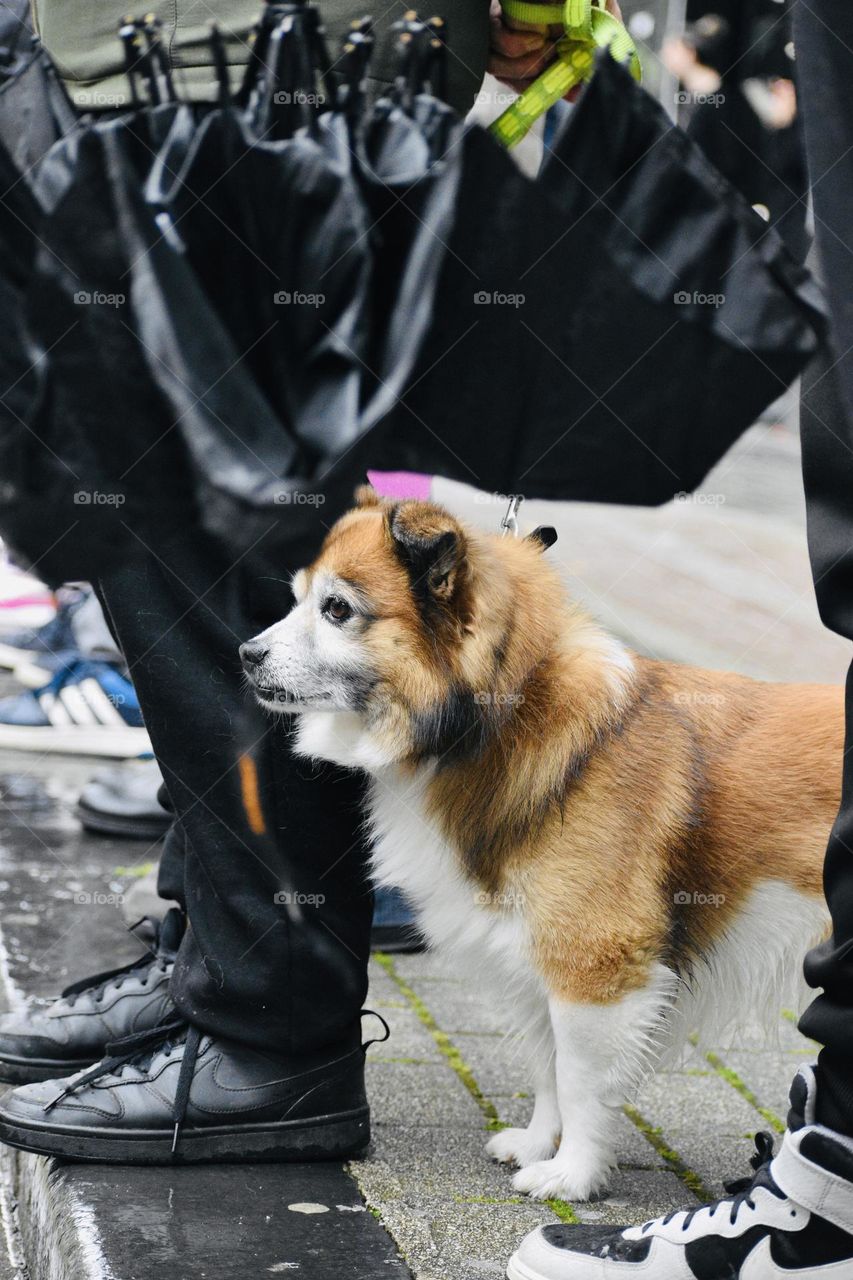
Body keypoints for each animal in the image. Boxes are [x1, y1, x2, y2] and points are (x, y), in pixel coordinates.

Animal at [236, 486, 835, 1198]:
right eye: (297, 598)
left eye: (337, 609)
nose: (244, 653)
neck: (510, 716)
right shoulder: (537, 960)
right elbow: (548, 1068)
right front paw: (537, 1145)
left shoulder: (595, 967)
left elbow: (578, 1082)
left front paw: (572, 1176)